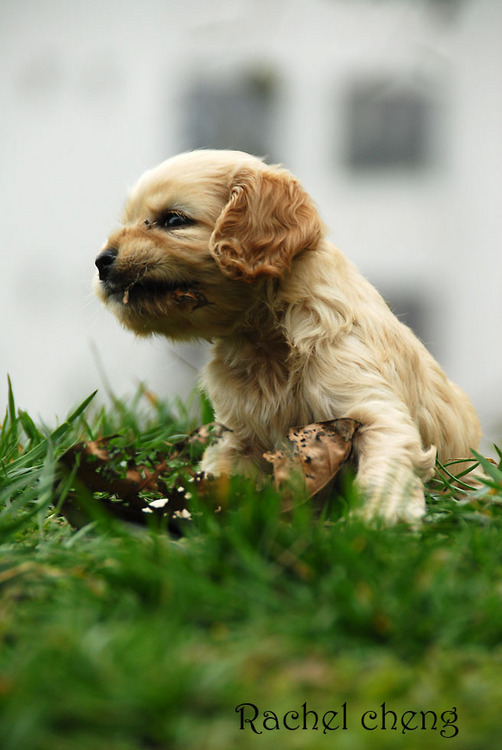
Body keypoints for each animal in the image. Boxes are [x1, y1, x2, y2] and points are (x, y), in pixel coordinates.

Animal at [95, 151, 482, 524]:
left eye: (174, 220)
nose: (101, 261)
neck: (266, 339)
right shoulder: (235, 436)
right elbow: (220, 476)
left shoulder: (374, 410)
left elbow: (385, 469)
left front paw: (376, 522)